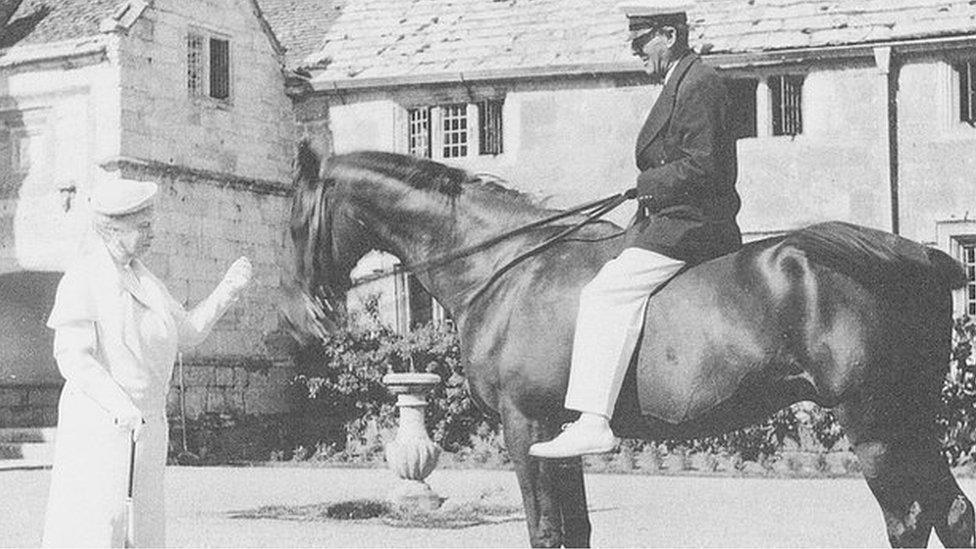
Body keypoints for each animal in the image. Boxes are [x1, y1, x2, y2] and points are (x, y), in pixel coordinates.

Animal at [290, 142, 976, 548]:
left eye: (296, 220)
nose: (306, 315)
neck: (511, 267)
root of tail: (917, 255)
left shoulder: (523, 424)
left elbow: (545, 532)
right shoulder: (557, 431)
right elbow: (576, 530)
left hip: (876, 426)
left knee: (909, 521)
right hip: (914, 421)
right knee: (952, 515)